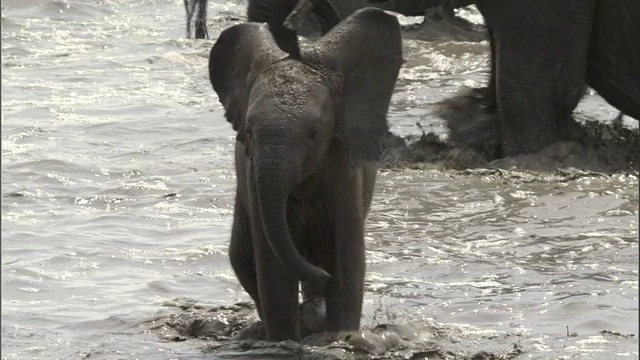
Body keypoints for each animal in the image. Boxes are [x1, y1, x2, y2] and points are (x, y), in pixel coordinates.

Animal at [210, 7, 402, 340]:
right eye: (249, 132)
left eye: (314, 133)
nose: (323, 277)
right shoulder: (252, 173)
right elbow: (271, 263)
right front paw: (286, 339)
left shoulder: (343, 166)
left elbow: (347, 257)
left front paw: (340, 336)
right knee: (243, 258)